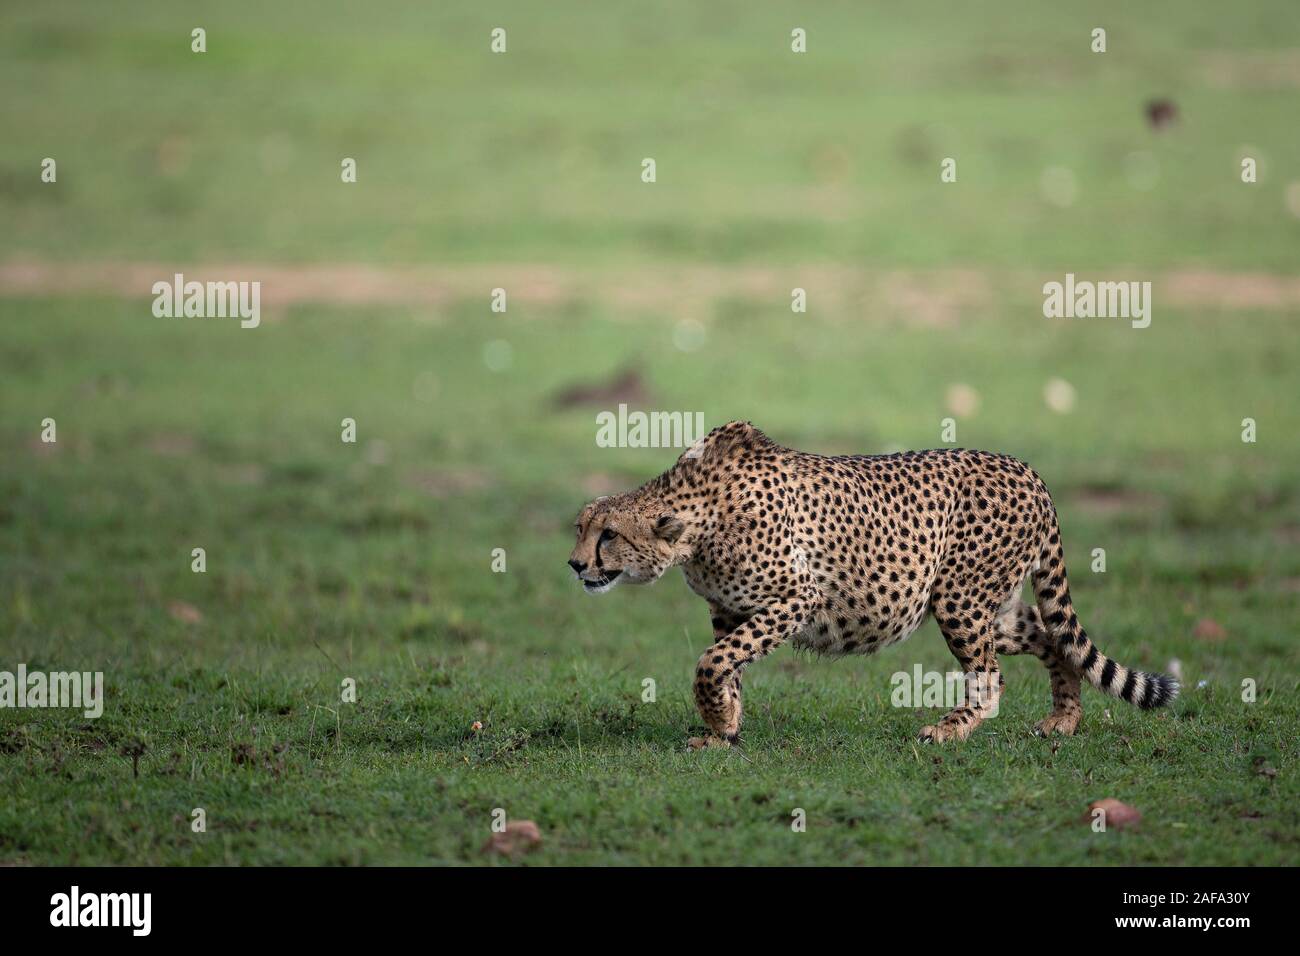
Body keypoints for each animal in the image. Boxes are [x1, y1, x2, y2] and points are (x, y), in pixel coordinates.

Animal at [569, 421, 1180, 749]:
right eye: (580, 528)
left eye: (608, 536)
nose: (575, 565)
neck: (696, 517)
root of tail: (1027, 470)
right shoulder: (729, 609)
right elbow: (724, 665)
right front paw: (725, 727)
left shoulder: (796, 597)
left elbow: (712, 662)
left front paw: (720, 721)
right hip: (990, 605)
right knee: (1051, 635)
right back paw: (1063, 719)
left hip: (957, 599)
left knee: (991, 673)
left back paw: (951, 731)